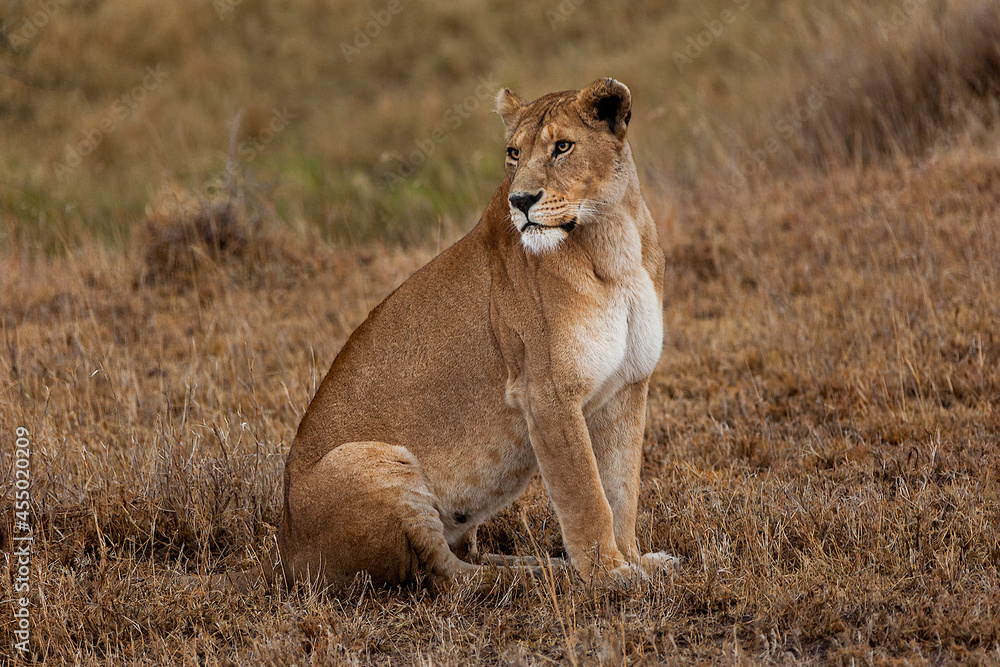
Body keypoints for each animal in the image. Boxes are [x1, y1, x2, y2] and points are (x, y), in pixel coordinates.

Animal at [276, 77, 675, 591]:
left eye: (562, 147)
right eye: (513, 153)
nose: (520, 201)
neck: (612, 240)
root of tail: (287, 552)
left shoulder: (628, 386)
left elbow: (622, 491)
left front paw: (636, 561)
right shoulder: (546, 394)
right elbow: (587, 497)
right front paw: (609, 575)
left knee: (464, 555)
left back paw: (543, 565)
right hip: (371, 461)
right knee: (444, 574)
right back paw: (540, 579)